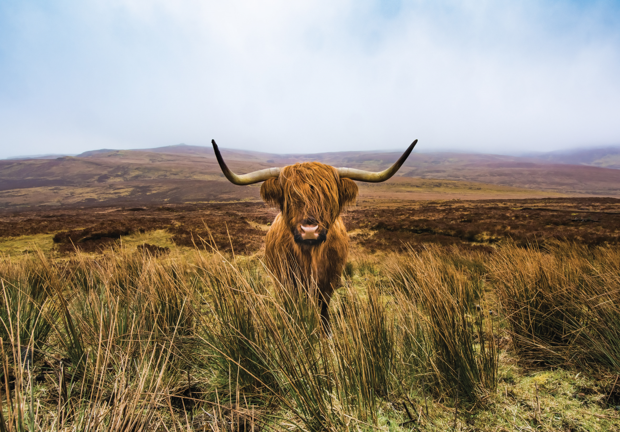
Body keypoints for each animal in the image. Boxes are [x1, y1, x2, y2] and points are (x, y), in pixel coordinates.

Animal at [211, 140, 418, 330]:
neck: (309, 257)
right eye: (290, 197)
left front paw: (325, 331)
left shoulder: (329, 280)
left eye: (328, 197)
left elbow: (323, 306)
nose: (309, 230)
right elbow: (292, 305)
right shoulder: (285, 280)